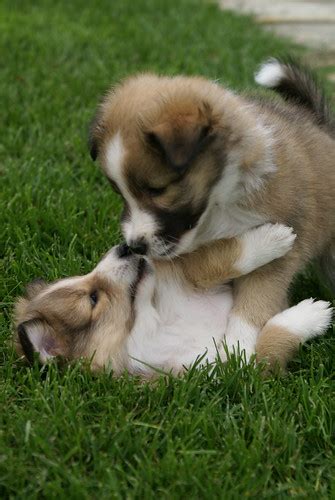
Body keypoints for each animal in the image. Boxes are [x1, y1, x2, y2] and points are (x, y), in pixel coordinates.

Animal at [13, 224, 334, 376]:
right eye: (93, 299)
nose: (124, 248)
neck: (157, 320)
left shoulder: (187, 279)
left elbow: (215, 263)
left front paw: (272, 237)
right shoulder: (224, 370)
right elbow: (268, 342)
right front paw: (315, 313)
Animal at [88, 58, 335, 356]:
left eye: (157, 190)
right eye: (119, 191)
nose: (136, 247)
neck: (218, 204)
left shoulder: (280, 255)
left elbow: (255, 300)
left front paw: (239, 350)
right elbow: (221, 260)